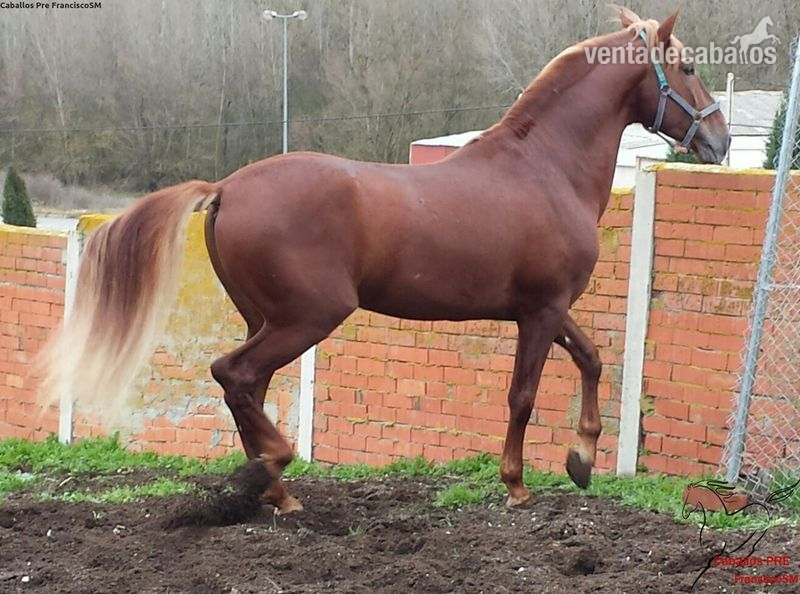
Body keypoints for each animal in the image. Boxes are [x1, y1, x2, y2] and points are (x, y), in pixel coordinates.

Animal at [40, 7, 729, 512]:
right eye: (689, 66)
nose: (720, 142)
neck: (544, 168)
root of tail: (227, 187)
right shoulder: (541, 309)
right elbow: (524, 395)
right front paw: (517, 484)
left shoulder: (545, 309)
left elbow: (590, 359)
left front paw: (581, 460)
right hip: (309, 316)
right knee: (233, 375)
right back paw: (276, 468)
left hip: (266, 318)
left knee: (246, 386)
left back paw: (276, 491)